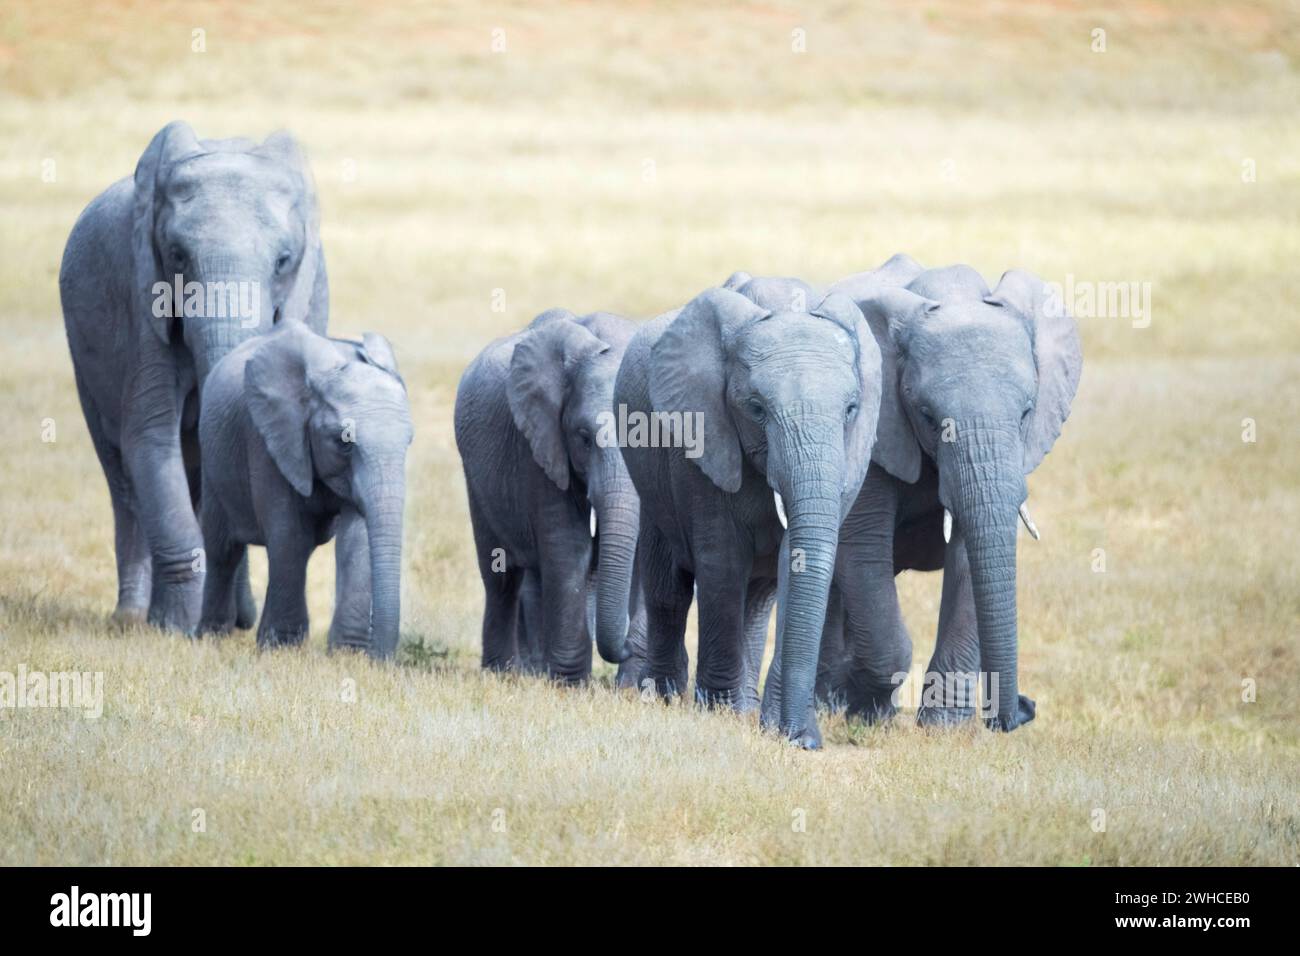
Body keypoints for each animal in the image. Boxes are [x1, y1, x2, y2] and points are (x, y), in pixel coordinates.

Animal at [60, 123, 327, 639]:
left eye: (284, 261)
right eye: (178, 256)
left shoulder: (313, 295)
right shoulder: (142, 302)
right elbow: (149, 438)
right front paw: (173, 630)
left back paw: (237, 620)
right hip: (84, 357)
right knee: (122, 477)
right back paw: (132, 617)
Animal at [196, 321, 410, 658]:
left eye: (409, 441)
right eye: (344, 442)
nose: (380, 660)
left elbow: (357, 536)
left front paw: (347, 654)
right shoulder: (269, 438)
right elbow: (290, 534)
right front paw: (281, 649)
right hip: (212, 458)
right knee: (223, 550)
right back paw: (210, 637)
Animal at [454, 310, 642, 686]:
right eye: (583, 438)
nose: (628, 645)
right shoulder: (540, 447)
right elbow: (568, 547)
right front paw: (570, 686)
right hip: (476, 479)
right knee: (501, 578)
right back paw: (503, 672)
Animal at [611, 277, 904, 749]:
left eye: (851, 409)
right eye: (756, 408)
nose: (805, 739)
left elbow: (794, 562)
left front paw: (778, 730)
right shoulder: (701, 437)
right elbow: (722, 560)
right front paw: (715, 714)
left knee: (757, 601)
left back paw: (743, 706)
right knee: (668, 587)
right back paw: (665, 697)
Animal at [816, 254, 1081, 733]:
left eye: (1026, 413)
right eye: (927, 415)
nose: (1023, 709)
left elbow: (971, 555)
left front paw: (943, 727)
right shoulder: (877, 432)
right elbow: (862, 546)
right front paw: (867, 711)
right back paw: (830, 702)